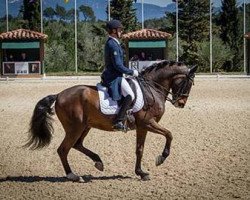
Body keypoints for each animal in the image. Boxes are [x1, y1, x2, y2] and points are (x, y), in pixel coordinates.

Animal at [24, 60, 197, 182]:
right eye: (188, 83)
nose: (181, 103)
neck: (151, 89)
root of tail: (59, 94)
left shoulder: (143, 127)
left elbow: (139, 149)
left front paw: (141, 173)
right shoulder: (147, 123)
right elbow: (169, 134)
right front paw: (161, 158)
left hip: (85, 126)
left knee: (77, 145)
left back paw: (98, 162)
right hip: (75, 128)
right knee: (63, 149)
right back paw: (74, 176)